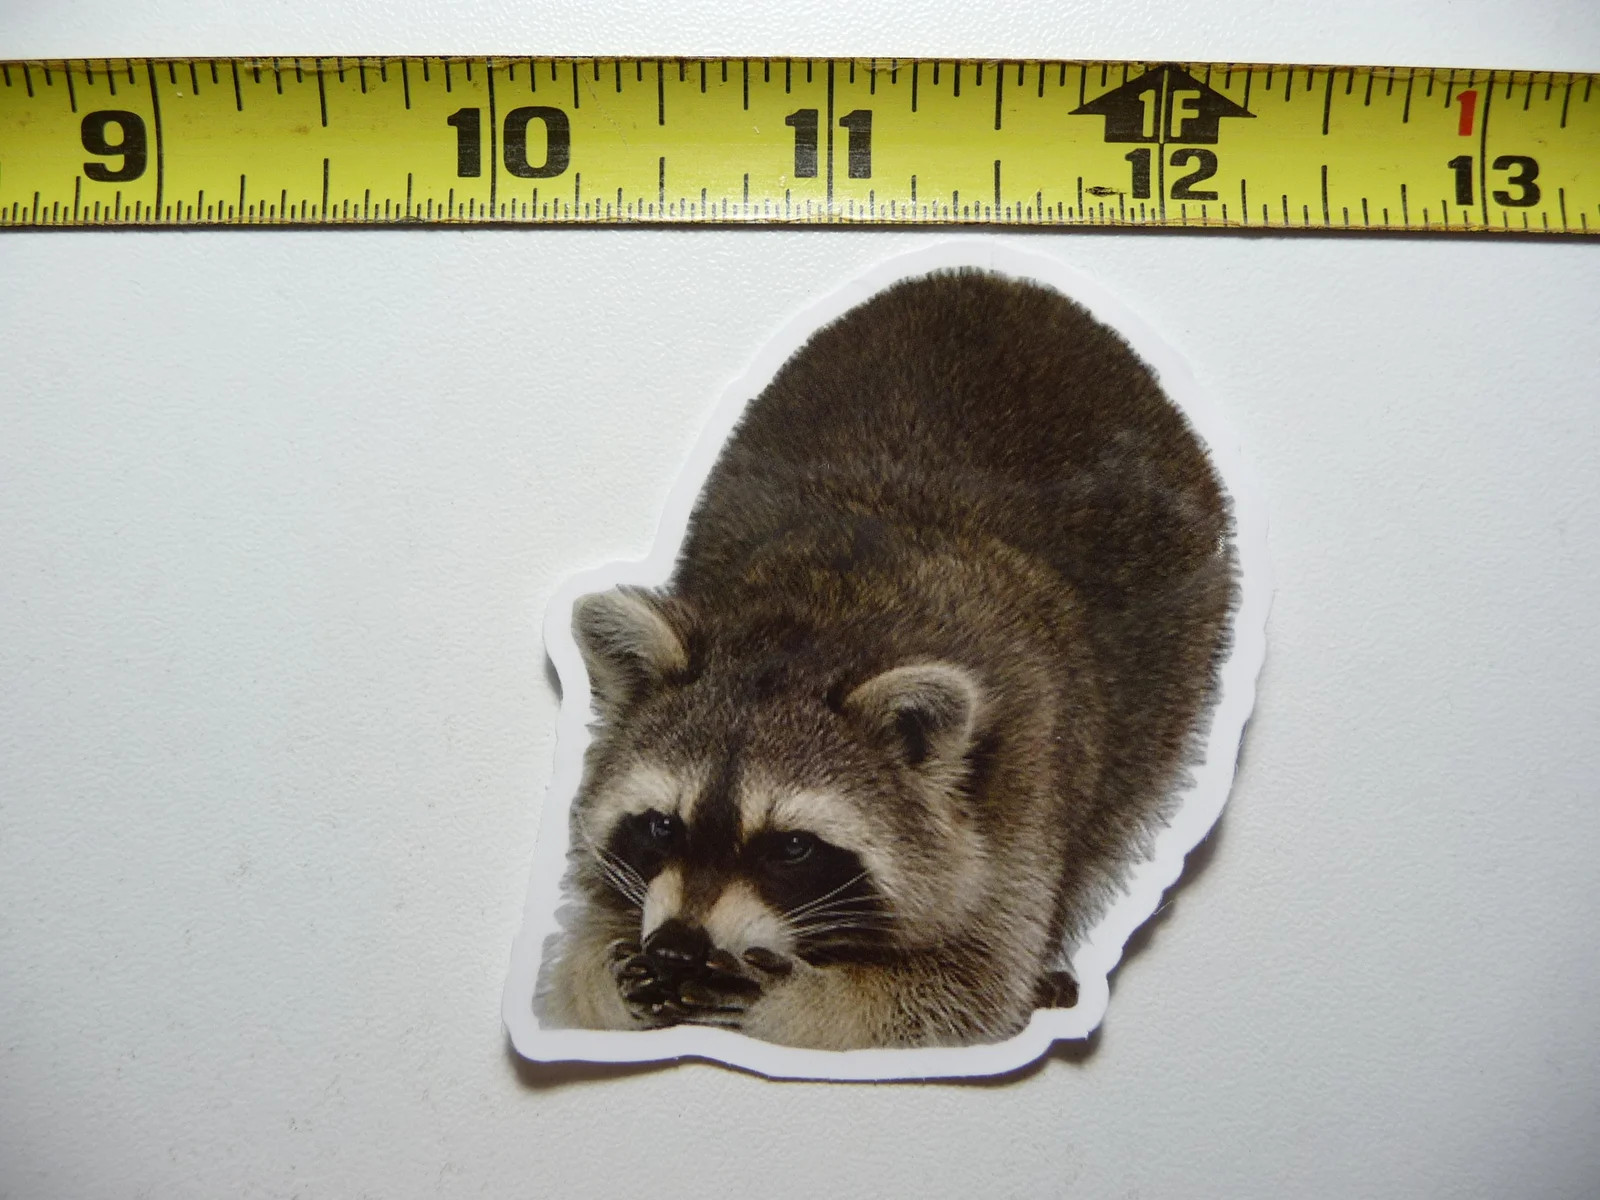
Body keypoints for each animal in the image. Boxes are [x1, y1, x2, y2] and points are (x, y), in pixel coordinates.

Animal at [540, 269, 1237, 1050]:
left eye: (792, 848)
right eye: (663, 826)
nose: (678, 949)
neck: (812, 625)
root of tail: (991, 279)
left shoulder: (1021, 775)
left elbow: (969, 988)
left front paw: (803, 1001)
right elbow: (575, 961)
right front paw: (606, 975)